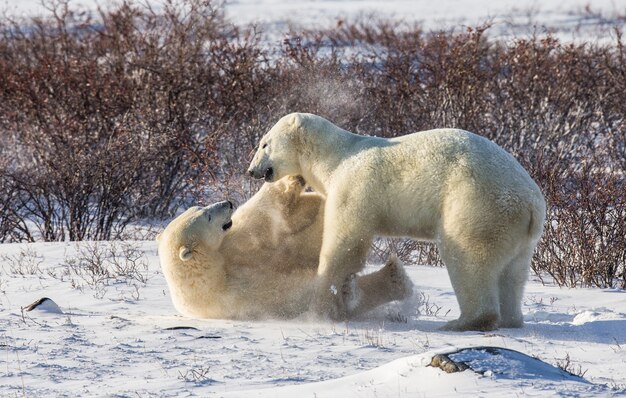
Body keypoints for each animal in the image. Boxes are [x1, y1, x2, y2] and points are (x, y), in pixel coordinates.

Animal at [156, 176, 412, 320]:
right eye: (207, 216)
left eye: (201, 207)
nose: (228, 203)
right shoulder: (239, 280)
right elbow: (266, 226)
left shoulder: (229, 248)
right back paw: (395, 277)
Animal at [246, 112, 544, 332]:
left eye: (264, 143)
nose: (252, 170)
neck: (334, 157)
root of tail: (532, 203)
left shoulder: (355, 186)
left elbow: (346, 239)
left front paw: (324, 298)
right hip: (518, 232)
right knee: (513, 273)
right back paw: (511, 319)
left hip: (477, 204)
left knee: (469, 258)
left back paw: (463, 322)